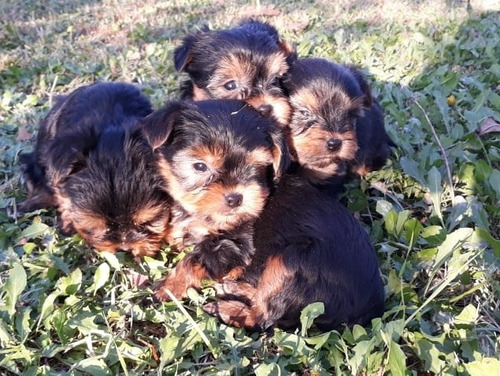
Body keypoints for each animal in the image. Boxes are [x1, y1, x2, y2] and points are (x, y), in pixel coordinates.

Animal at [140, 98, 290, 302]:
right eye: (200, 166)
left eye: (256, 166)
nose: (235, 198)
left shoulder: (236, 240)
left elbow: (194, 259)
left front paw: (168, 288)